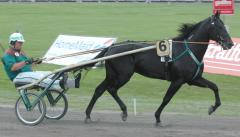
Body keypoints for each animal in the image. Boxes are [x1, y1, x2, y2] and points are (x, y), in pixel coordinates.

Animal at [82, 11, 232, 125]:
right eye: (219, 27)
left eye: (225, 26)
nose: (230, 44)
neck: (189, 49)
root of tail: (112, 46)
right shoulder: (178, 80)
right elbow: (166, 98)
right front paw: (158, 118)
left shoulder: (193, 79)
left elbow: (214, 87)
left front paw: (212, 108)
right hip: (123, 75)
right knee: (111, 89)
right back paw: (124, 111)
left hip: (112, 75)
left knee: (99, 89)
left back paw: (88, 115)